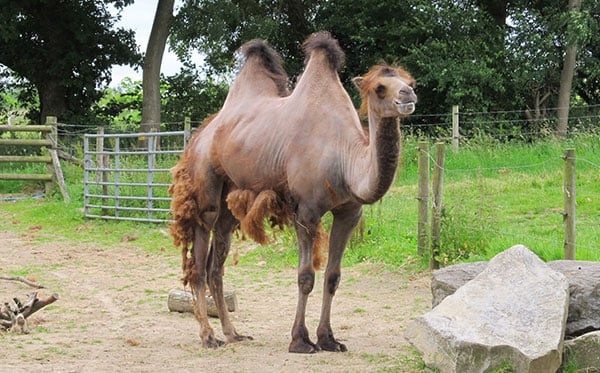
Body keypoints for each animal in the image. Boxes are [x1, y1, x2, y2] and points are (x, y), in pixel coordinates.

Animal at [169, 31, 418, 352]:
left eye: (409, 81)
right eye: (380, 87)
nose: (408, 96)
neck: (344, 156)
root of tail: (198, 136)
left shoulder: (348, 211)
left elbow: (333, 276)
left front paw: (328, 339)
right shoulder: (307, 211)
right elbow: (305, 276)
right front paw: (300, 340)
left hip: (230, 201)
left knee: (216, 266)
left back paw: (233, 333)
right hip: (205, 186)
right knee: (199, 264)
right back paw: (209, 337)